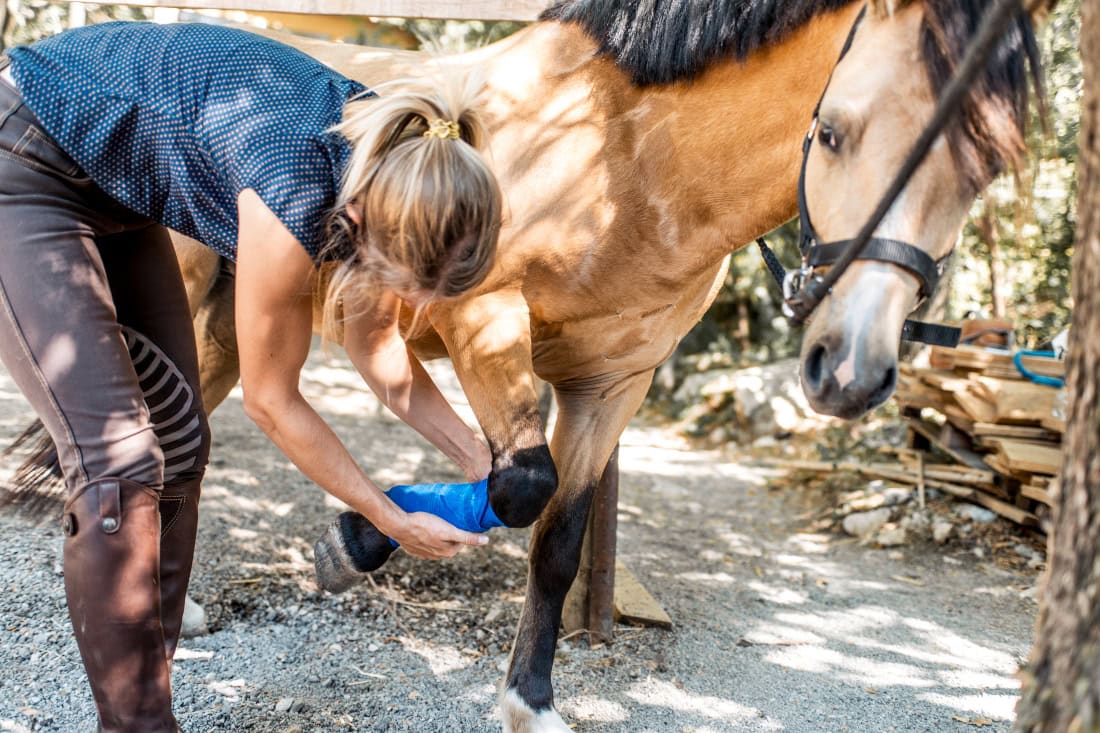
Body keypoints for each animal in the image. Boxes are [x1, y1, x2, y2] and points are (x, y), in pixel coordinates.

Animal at [14, 0, 1045, 729]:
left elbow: (554, 532)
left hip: (228, 324)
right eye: (832, 131)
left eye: (986, 167)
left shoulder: (612, 384)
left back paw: (180, 615)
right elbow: (518, 484)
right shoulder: (484, 319)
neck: (620, 154)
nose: (849, 370)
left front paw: (531, 700)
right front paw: (355, 542)